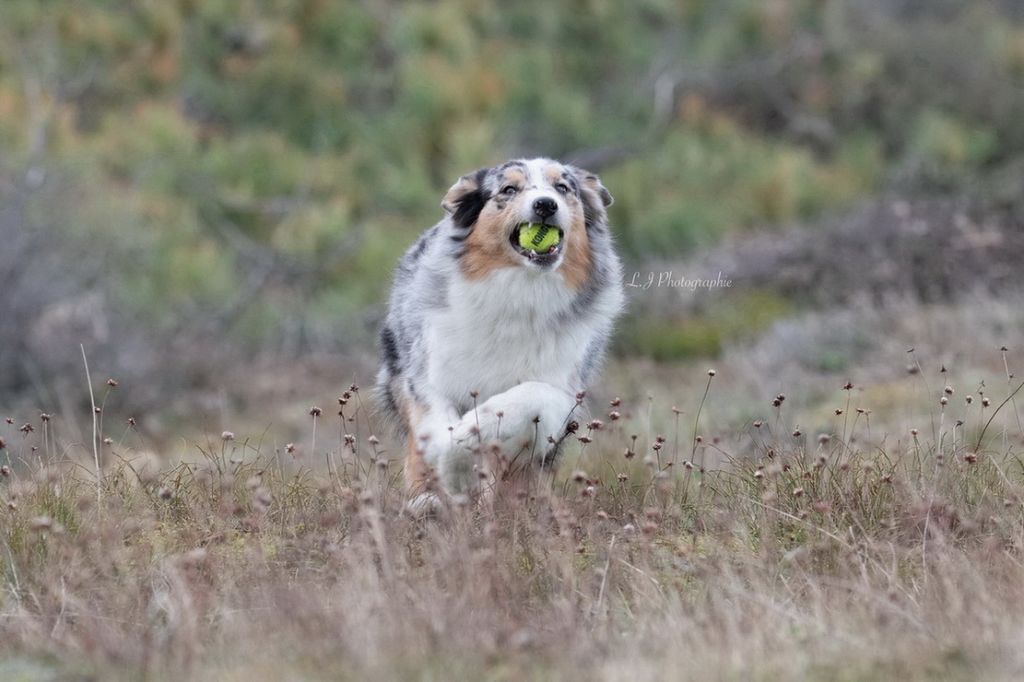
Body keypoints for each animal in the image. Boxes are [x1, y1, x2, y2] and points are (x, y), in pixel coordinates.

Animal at [372, 156, 618, 507]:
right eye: (509, 189)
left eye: (562, 187)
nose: (545, 204)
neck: (519, 294)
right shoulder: (424, 374)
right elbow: (436, 425)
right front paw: (455, 466)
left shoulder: (564, 389)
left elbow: (524, 396)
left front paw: (467, 443)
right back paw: (426, 504)